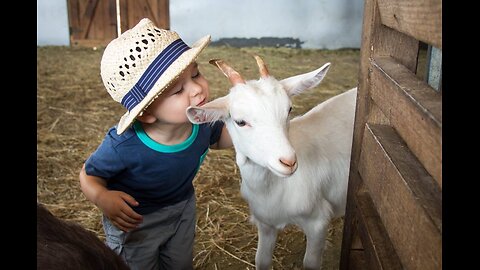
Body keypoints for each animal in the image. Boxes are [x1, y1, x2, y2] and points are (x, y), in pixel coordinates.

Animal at [188, 56, 356, 268]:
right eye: (240, 122)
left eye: (289, 109)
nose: (288, 162)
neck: (273, 190)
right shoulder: (265, 223)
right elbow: (262, 259)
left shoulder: (318, 221)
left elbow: (309, 262)